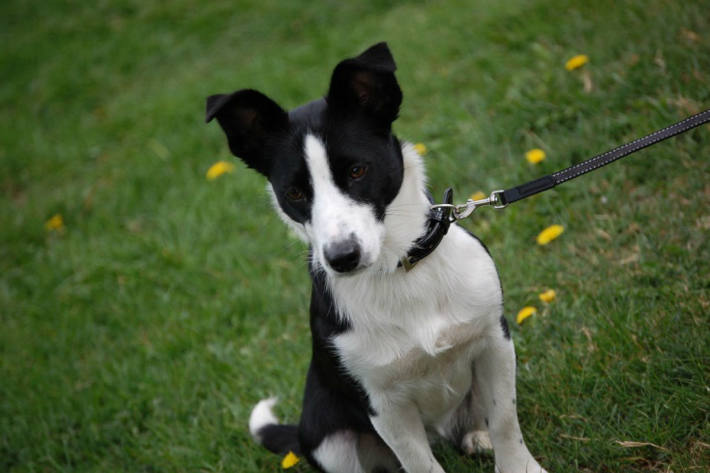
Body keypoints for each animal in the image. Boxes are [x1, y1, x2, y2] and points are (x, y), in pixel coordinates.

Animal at [206, 43, 552, 472]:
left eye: (357, 170)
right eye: (295, 193)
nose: (342, 257)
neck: (400, 269)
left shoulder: (494, 343)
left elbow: (504, 421)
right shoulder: (382, 405)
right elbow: (421, 465)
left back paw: (476, 436)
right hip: (330, 441)